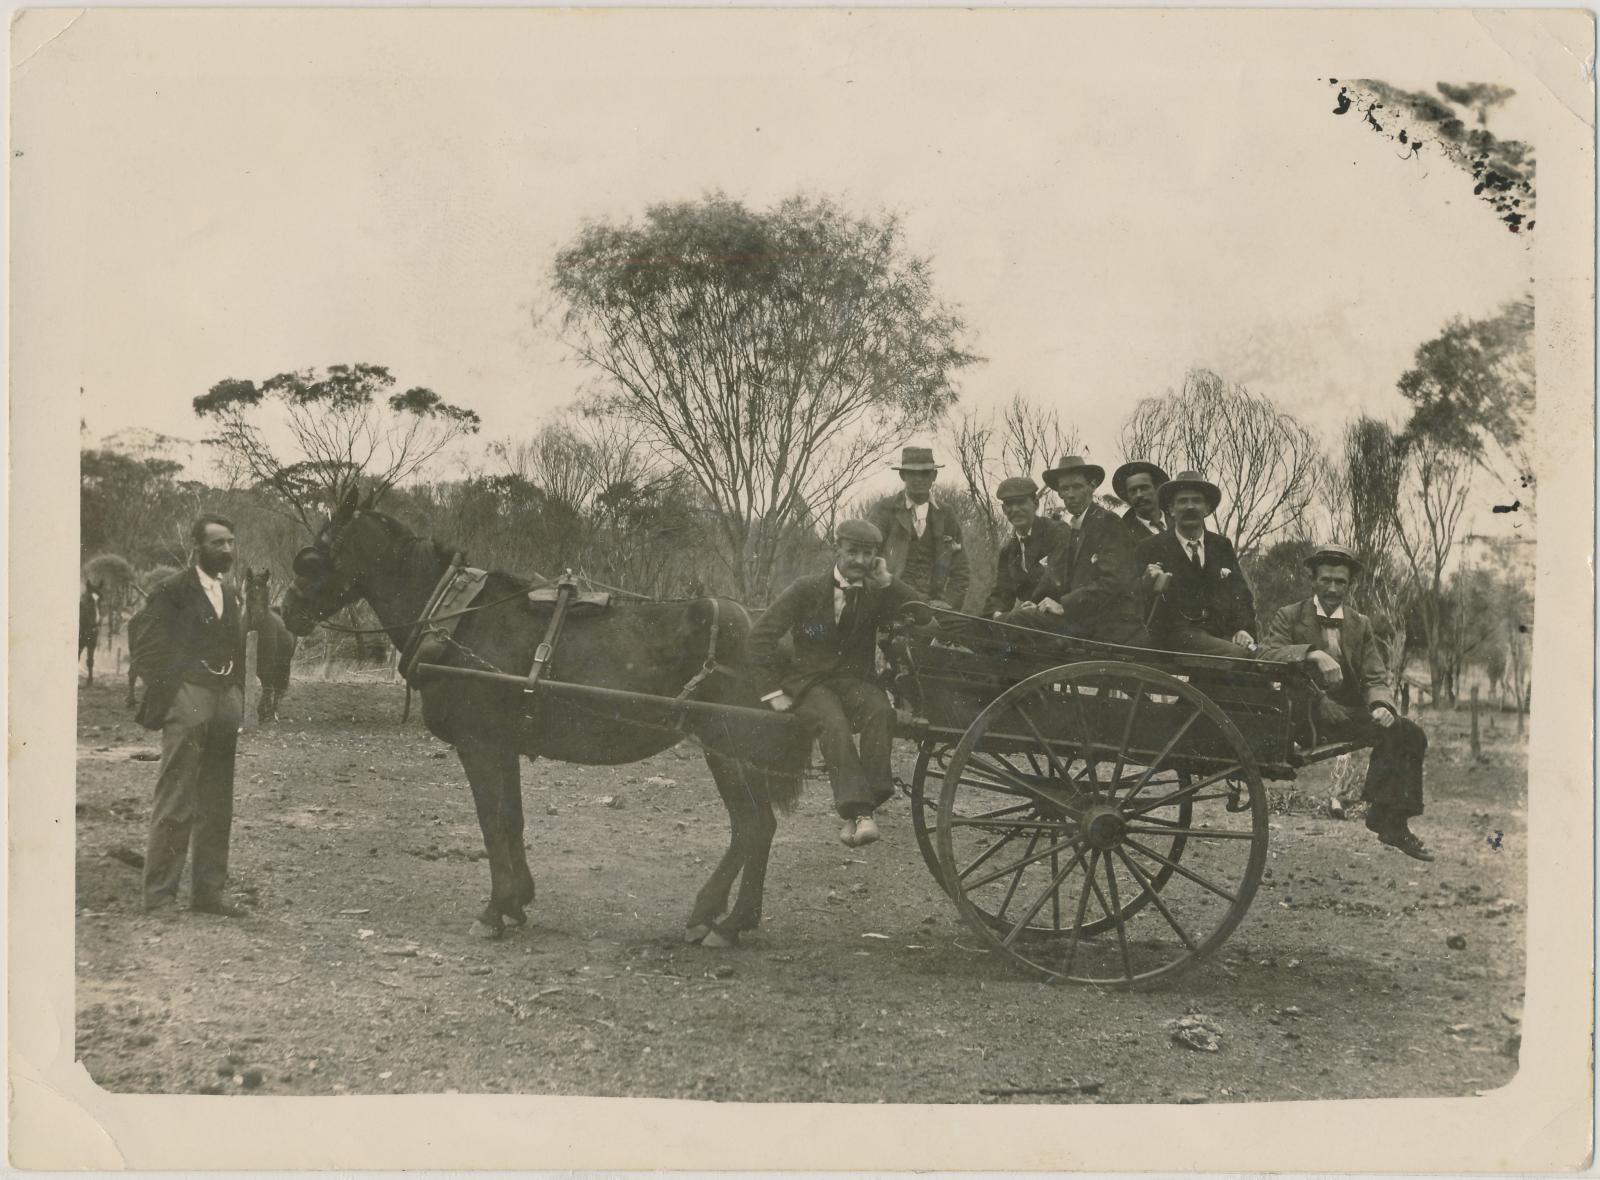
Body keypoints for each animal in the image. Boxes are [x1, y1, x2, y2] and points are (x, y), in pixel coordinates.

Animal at [241, 569, 299, 722]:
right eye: (250, 592)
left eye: (266, 593)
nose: (258, 617)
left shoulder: (267, 664)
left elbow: (267, 686)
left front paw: (261, 712)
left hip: (282, 664)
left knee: (275, 687)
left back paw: (272, 711)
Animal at [281, 482, 812, 940]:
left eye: (310, 559)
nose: (286, 611)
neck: (456, 618)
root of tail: (765, 628)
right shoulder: (503, 745)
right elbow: (511, 819)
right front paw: (517, 900)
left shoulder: (479, 744)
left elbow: (491, 821)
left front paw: (494, 910)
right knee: (760, 827)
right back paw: (735, 919)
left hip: (728, 746)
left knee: (751, 826)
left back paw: (721, 918)